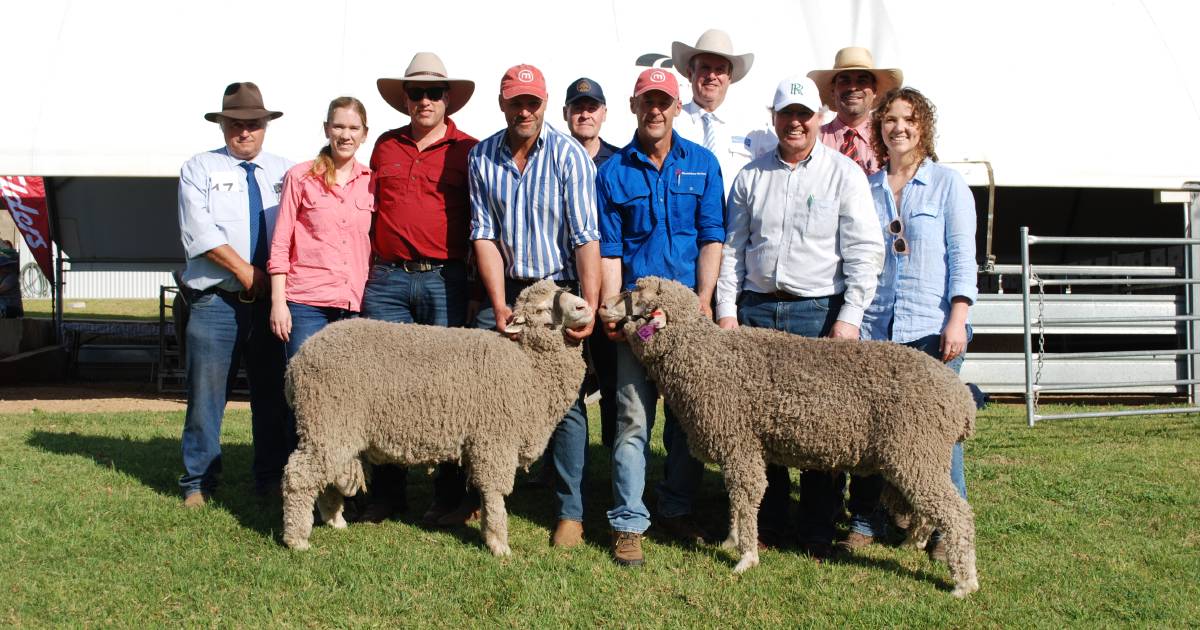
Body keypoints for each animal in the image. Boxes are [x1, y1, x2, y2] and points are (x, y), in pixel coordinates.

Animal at [285, 279, 595, 554]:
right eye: (542, 309)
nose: (584, 307)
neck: (527, 365)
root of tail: (298, 358)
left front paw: (487, 533)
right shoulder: (495, 441)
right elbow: (494, 493)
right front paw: (498, 543)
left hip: (335, 428)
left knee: (327, 474)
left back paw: (334, 520)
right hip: (327, 420)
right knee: (299, 475)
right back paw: (296, 539)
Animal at [595, 274, 979, 595]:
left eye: (636, 292)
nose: (602, 306)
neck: (707, 357)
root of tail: (962, 400)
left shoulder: (739, 442)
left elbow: (747, 496)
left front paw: (745, 557)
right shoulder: (743, 447)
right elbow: (739, 498)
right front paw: (733, 540)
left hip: (918, 449)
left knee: (956, 511)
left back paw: (964, 582)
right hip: (917, 455)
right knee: (929, 510)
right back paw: (911, 546)